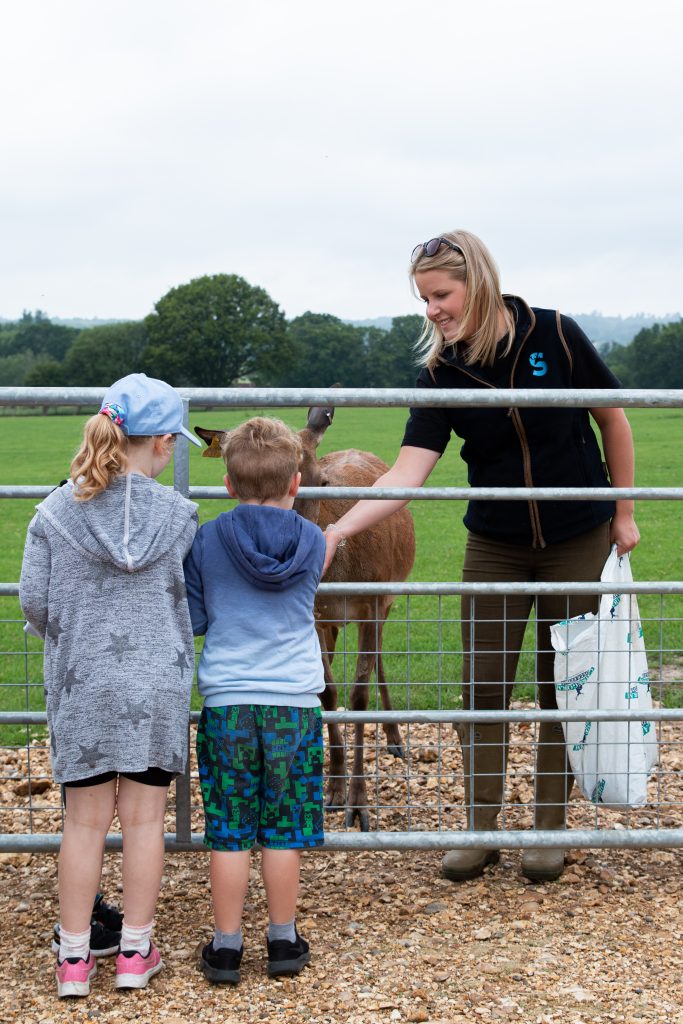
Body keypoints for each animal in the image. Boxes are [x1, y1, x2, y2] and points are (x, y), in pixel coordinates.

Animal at [193, 403, 417, 827]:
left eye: (320, 481)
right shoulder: (312, 615)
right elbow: (327, 691)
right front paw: (333, 790)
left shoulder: (373, 601)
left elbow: (359, 694)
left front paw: (359, 805)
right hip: (330, 622)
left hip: (391, 595)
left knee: (380, 657)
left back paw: (396, 738)